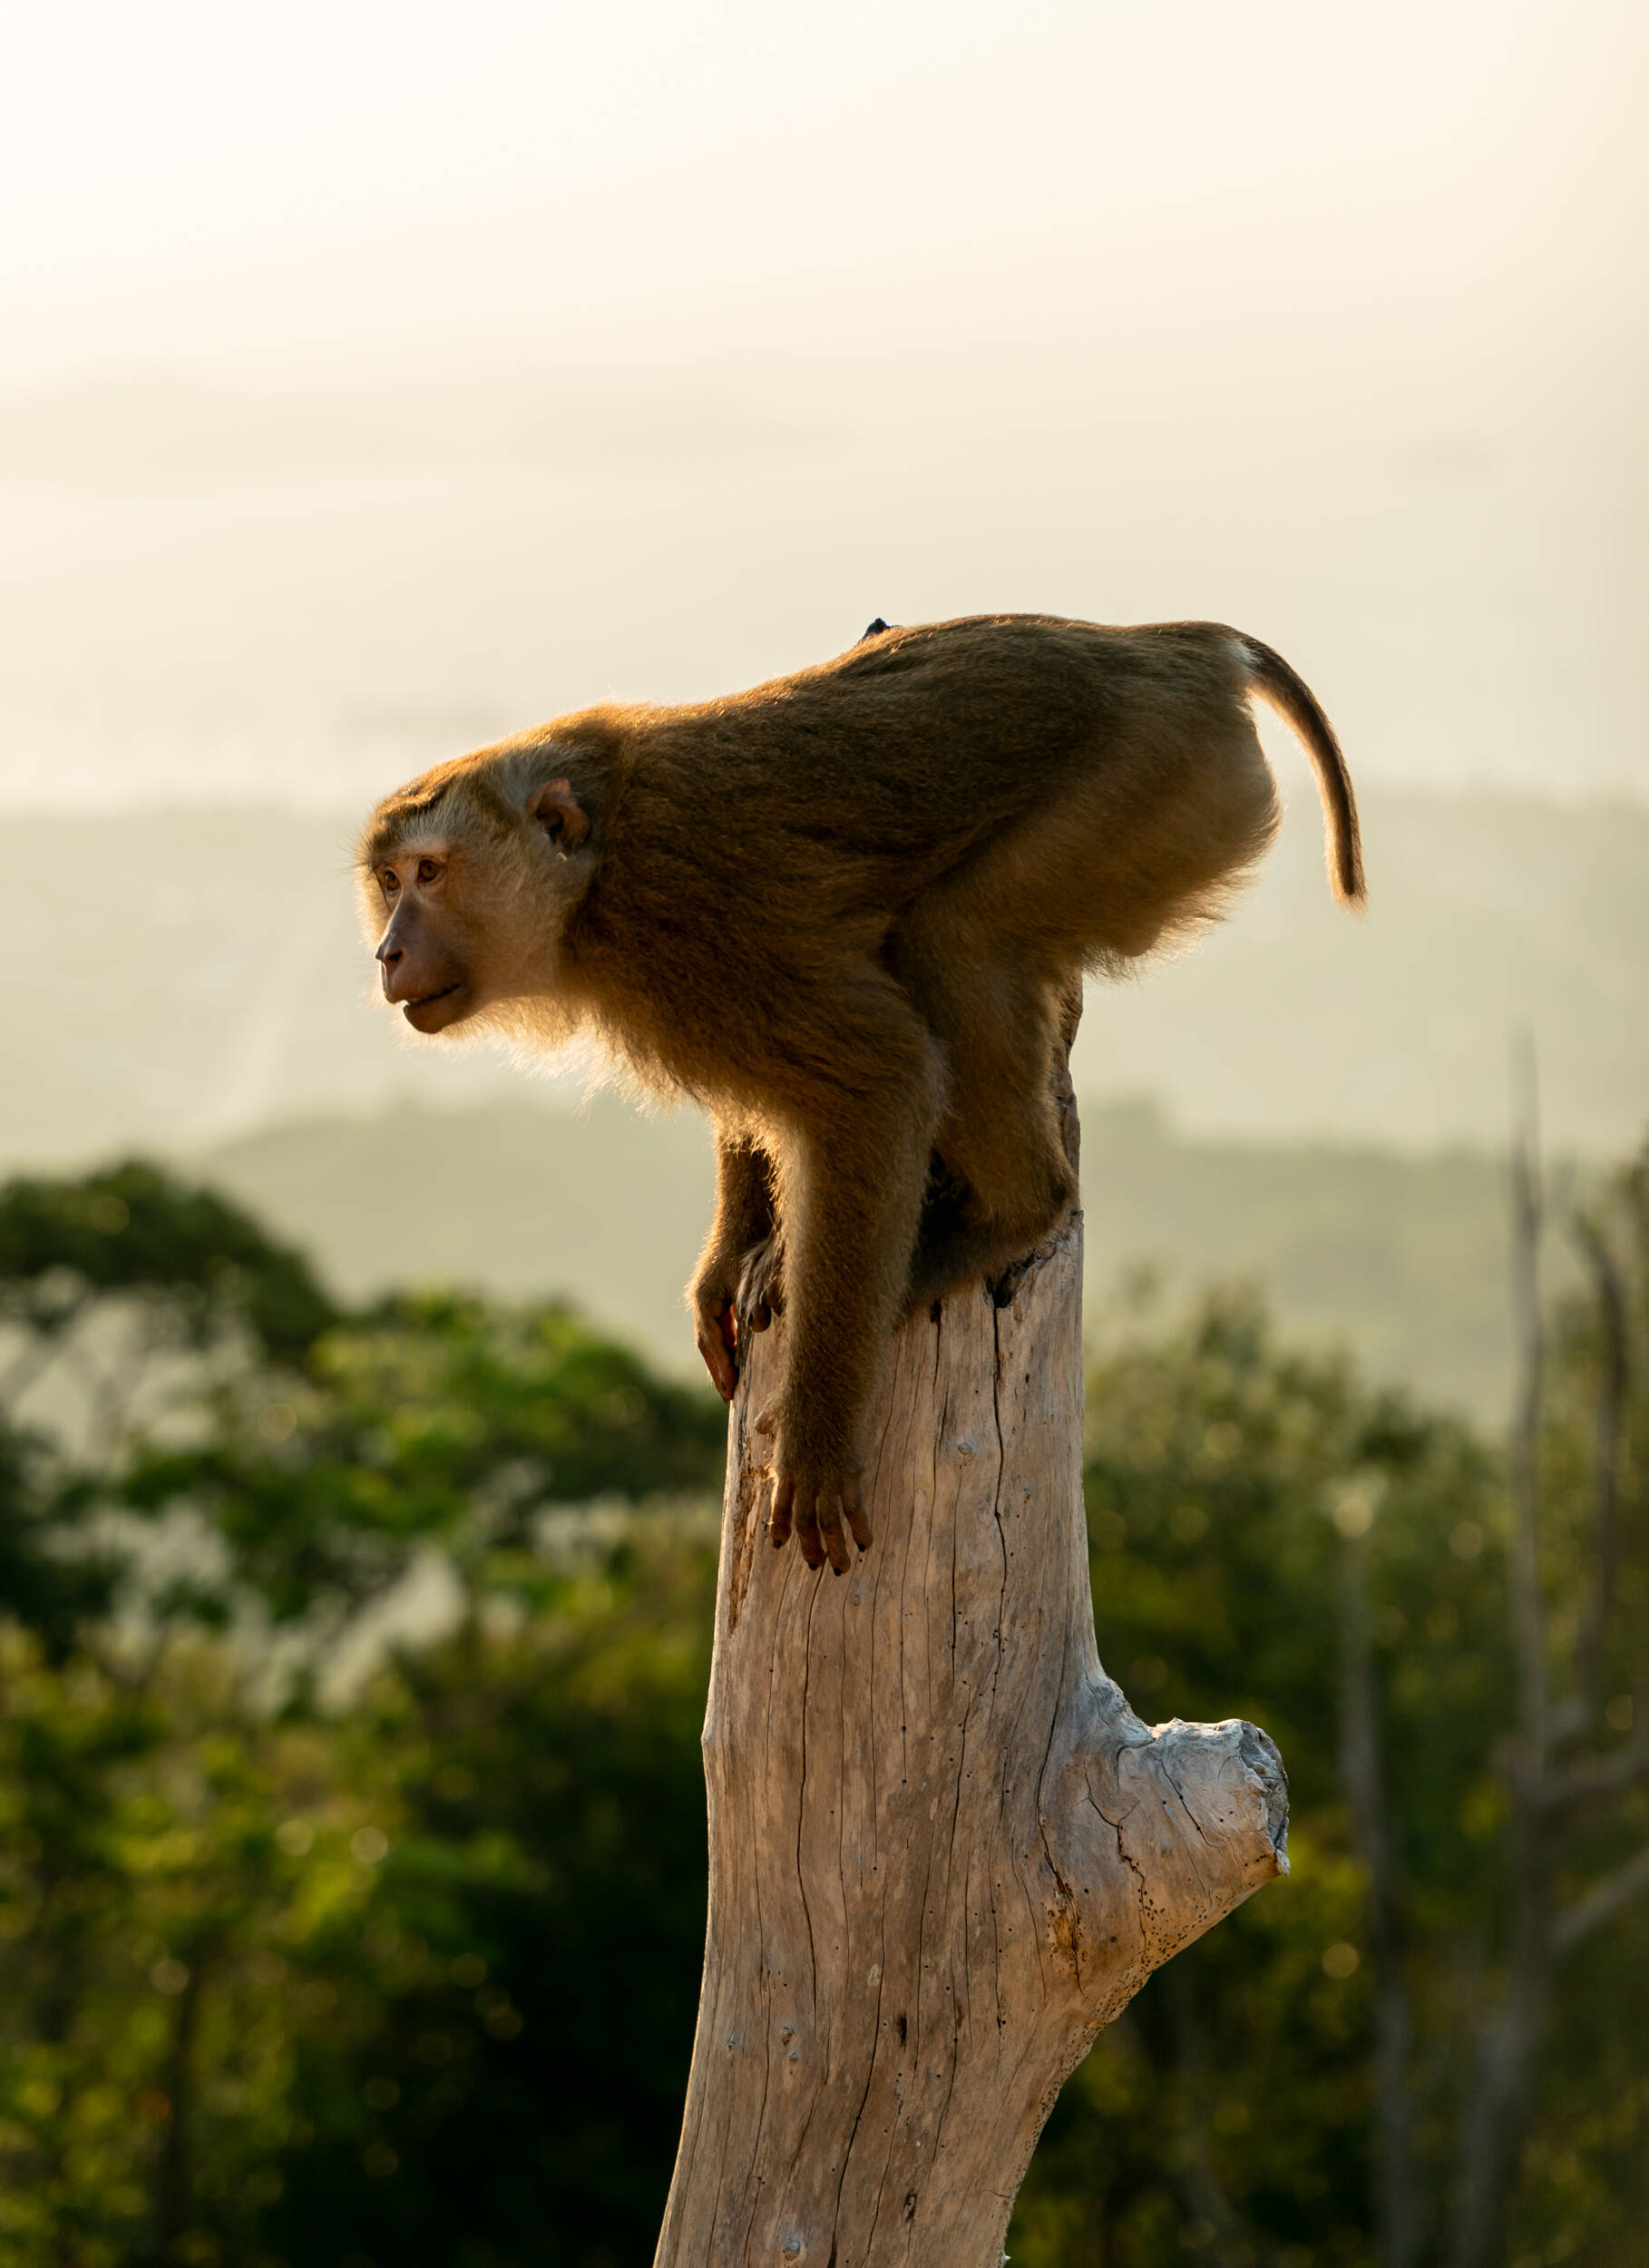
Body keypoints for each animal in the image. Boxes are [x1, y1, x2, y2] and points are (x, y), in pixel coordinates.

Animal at [358, 613, 1363, 1577]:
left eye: (432, 872)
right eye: (389, 880)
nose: (386, 953)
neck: (592, 878)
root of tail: (1180, 645)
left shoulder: (687, 924)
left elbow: (876, 1081)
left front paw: (816, 1434)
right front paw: (729, 1259)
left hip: (1153, 786)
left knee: (959, 936)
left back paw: (1010, 1214)